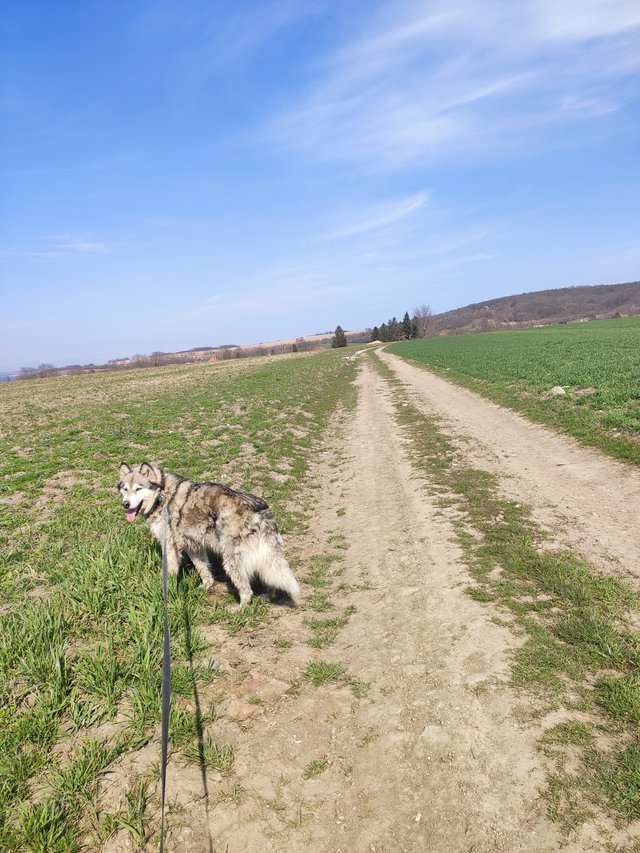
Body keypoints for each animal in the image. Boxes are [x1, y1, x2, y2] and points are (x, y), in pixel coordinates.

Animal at [117, 460, 300, 604]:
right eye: (125, 489)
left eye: (138, 489)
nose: (125, 504)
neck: (161, 496)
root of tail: (259, 509)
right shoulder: (193, 546)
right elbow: (203, 569)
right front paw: (206, 586)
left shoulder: (170, 546)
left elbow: (170, 573)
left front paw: (167, 592)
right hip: (265, 557)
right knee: (270, 579)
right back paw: (268, 597)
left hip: (231, 561)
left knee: (247, 590)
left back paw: (240, 609)